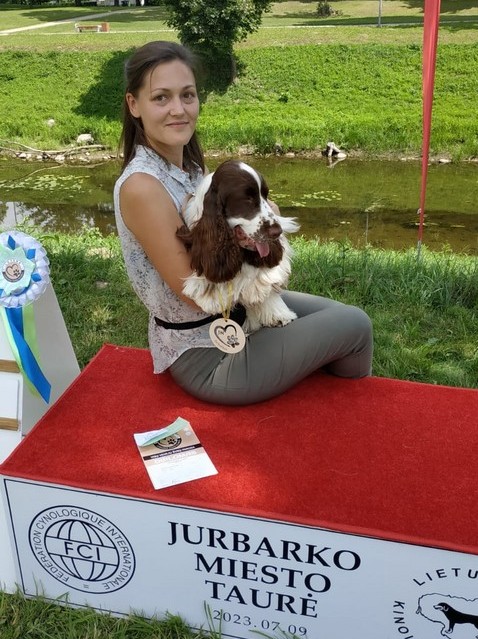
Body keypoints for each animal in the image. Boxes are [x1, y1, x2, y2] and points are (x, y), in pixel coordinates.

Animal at [176, 160, 299, 333]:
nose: (277, 231)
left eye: (265, 195)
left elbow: (265, 277)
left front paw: (278, 313)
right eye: (247, 199)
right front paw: (209, 294)